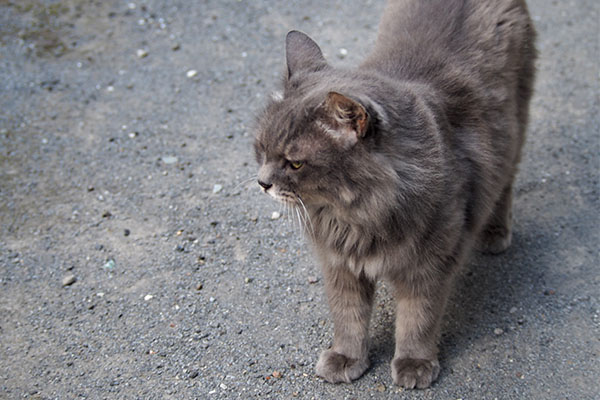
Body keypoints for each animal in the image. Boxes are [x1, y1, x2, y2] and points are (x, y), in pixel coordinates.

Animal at [252, 0, 536, 390]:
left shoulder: (429, 265)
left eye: (295, 163)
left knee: (505, 181)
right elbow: (348, 316)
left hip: (515, 126)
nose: (262, 182)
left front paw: (414, 364)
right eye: (261, 149)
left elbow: (418, 318)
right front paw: (347, 358)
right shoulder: (340, 265)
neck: (355, 215)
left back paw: (494, 234)